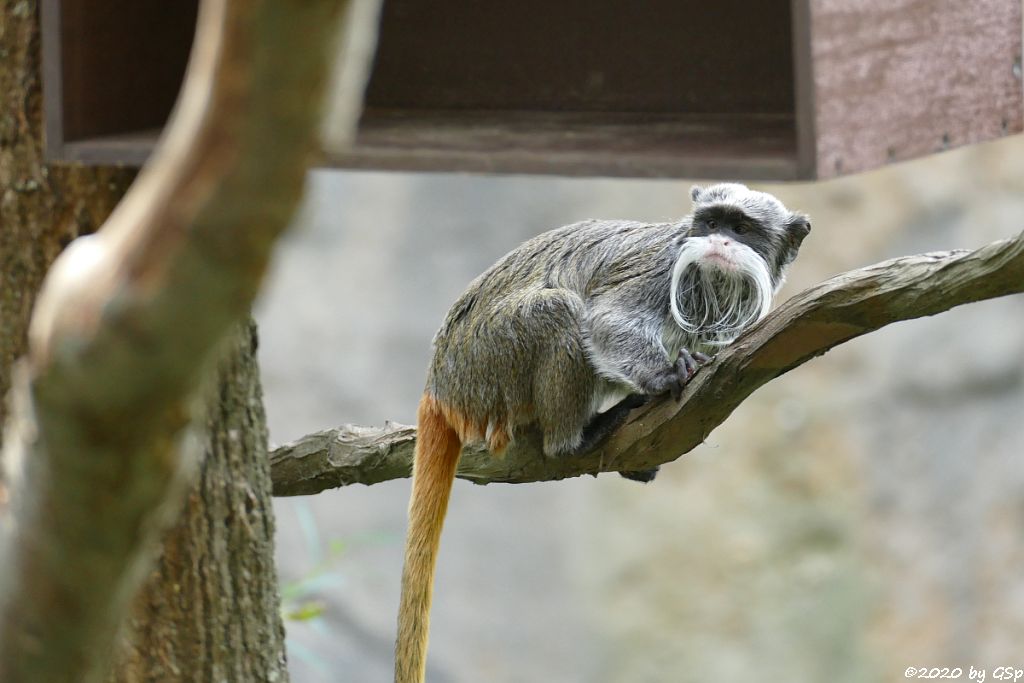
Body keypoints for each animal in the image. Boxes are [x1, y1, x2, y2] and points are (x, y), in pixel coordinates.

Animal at [395, 183, 811, 683]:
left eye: (741, 229)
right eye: (711, 223)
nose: (718, 242)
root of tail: (439, 382)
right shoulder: (658, 274)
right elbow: (609, 320)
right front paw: (662, 377)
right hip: (487, 361)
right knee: (556, 308)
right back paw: (575, 438)